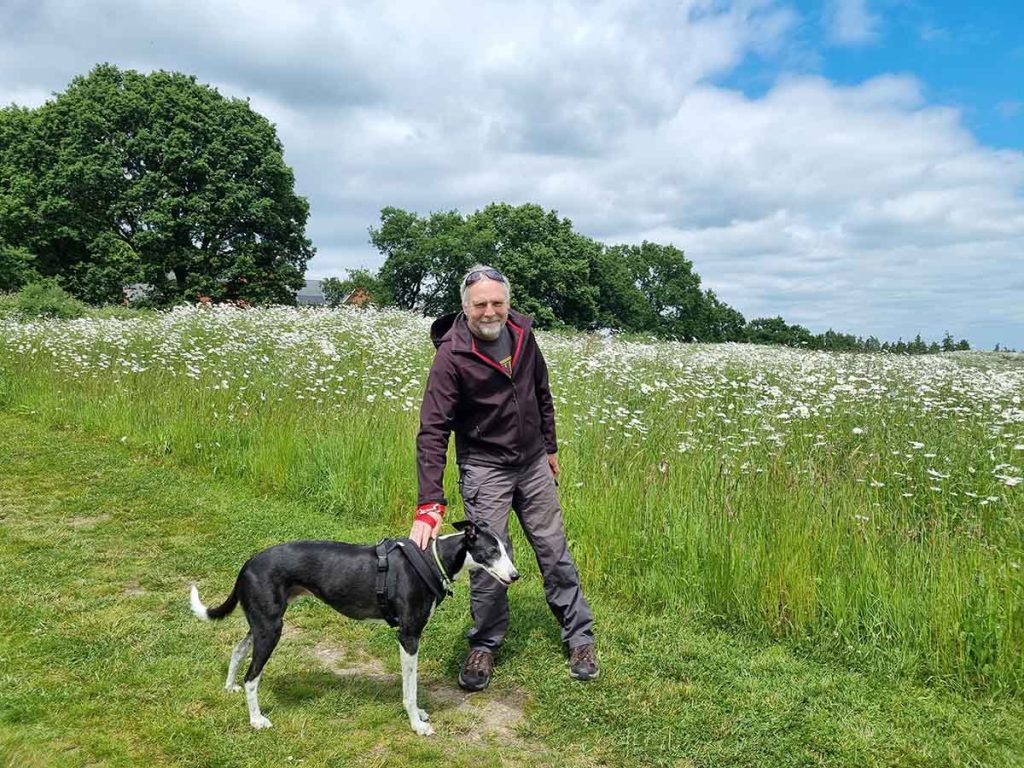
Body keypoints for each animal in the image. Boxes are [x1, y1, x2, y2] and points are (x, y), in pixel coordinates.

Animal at [188, 520, 516, 737]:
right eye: (492, 552)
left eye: (507, 549)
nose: (516, 575)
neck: (433, 560)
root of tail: (247, 564)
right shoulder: (409, 637)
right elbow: (410, 690)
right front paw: (417, 724)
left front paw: (420, 715)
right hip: (270, 630)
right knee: (252, 677)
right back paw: (256, 720)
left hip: (262, 623)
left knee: (238, 648)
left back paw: (229, 686)